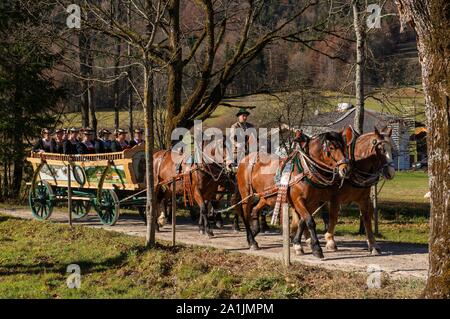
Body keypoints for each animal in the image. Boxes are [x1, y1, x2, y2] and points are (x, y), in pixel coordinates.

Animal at [234, 127, 354, 258]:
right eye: (331, 148)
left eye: (344, 147)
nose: (346, 169)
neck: (305, 170)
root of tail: (245, 159)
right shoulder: (298, 200)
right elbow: (310, 221)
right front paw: (316, 248)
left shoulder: (312, 203)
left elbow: (302, 222)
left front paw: (297, 244)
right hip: (246, 194)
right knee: (245, 215)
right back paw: (251, 241)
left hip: (266, 196)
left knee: (255, 210)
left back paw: (255, 232)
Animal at [292, 127, 394, 255]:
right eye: (380, 149)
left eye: (392, 149)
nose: (391, 172)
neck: (356, 166)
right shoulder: (335, 197)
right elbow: (333, 217)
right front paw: (330, 241)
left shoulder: (364, 199)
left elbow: (366, 219)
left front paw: (373, 245)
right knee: (299, 215)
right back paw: (301, 242)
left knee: (302, 217)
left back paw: (306, 239)